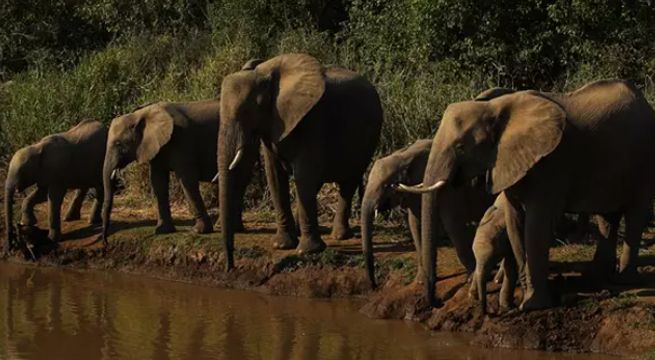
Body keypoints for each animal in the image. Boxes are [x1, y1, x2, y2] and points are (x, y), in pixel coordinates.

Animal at [4, 119, 107, 250]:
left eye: (21, 172)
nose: (10, 247)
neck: (37, 147)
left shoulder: (57, 171)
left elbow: (54, 198)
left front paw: (52, 239)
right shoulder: (44, 173)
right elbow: (41, 195)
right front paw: (28, 223)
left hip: (101, 162)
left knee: (100, 188)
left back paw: (92, 221)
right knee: (83, 187)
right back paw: (70, 218)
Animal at [100, 100, 258, 243]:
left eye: (118, 144)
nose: (105, 241)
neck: (141, 114)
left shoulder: (181, 141)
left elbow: (187, 180)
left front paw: (198, 231)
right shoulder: (157, 147)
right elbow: (158, 182)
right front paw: (161, 231)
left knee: (240, 179)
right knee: (240, 181)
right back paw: (232, 228)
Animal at [220, 53, 384, 270]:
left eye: (246, 111)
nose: (229, 266)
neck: (265, 73)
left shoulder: (312, 120)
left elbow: (303, 175)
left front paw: (308, 251)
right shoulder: (272, 126)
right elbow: (275, 176)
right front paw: (282, 245)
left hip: (367, 140)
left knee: (347, 182)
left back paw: (339, 236)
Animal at [362, 139, 494, 288]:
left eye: (386, 186)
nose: (374, 285)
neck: (403, 156)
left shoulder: (450, 188)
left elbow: (452, 222)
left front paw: (471, 278)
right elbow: (415, 225)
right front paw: (420, 280)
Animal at [398, 80, 655, 310]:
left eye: (461, 147)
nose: (434, 303)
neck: (495, 108)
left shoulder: (550, 163)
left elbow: (536, 225)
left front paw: (533, 305)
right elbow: (514, 222)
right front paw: (523, 294)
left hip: (644, 162)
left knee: (635, 214)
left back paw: (623, 280)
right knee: (606, 216)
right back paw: (598, 274)